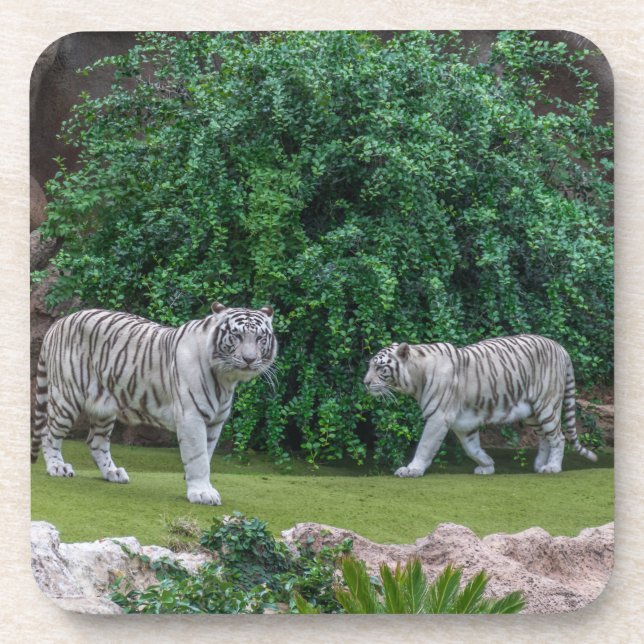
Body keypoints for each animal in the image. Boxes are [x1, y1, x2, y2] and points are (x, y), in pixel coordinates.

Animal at [31, 302, 277, 505]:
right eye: (236, 336)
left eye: (260, 338)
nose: (249, 359)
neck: (226, 378)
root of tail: (59, 322)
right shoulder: (191, 416)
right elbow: (198, 457)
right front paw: (201, 493)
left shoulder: (215, 421)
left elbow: (206, 455)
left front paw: (201, 487)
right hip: (66, 397)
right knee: (49, 433)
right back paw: (57, 467)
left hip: (104, 406)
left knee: (95, 442)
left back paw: (113, 473)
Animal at [364, 334, 598, 477]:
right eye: (370, 366)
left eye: (380, 368)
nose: (365, 382)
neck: (415, 378)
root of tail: (561, 348)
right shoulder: (463, 423)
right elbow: (472, 448)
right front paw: (487, 465)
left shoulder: (439, 417)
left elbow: (425, 445)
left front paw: (412, 469)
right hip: (532, 412)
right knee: (544, 437)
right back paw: (540, 465)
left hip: (547, 405)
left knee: (558, 437)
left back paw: (552, 467)